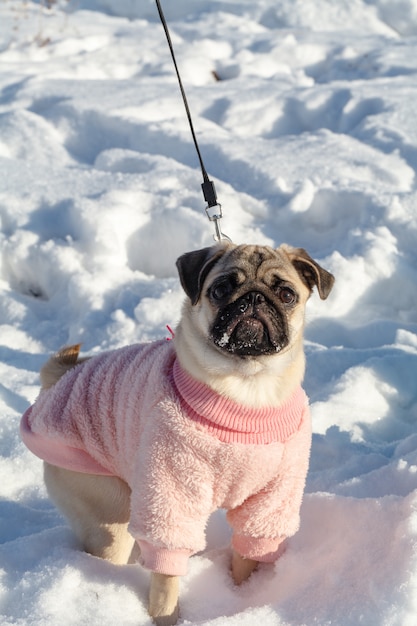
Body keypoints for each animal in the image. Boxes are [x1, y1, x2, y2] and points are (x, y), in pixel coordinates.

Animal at [21, 243, 334, 624]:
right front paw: (167, 617)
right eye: (221, 289)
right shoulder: (171, 495)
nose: (255, 298)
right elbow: (167, 578)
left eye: (286, 294)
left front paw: (242, 599)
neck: (246, 389)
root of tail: (60, 379)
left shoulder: (270, 500)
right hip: (107, 506)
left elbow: (248, 554)